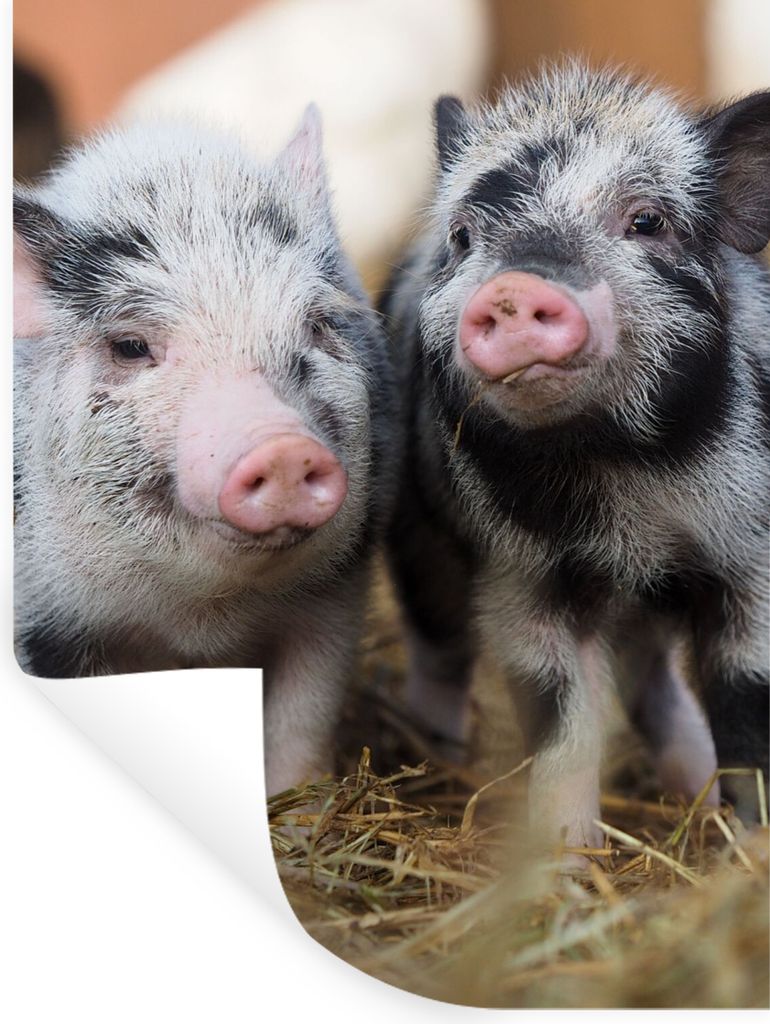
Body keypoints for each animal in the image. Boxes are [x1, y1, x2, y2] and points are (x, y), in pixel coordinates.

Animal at [13, 108, 399, 796]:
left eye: (316, 325)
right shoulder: (48, 625)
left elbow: (303, 715)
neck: (201, 618)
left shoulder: (337, 591)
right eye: (130, 346)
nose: (281, 447)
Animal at [381, 62, 770, 849]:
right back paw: (443, 756)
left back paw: (697, 796)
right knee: (438, 649)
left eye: (647, 221)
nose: (514, 287)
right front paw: (565, 856)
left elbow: (746, 703)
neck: (623, 472)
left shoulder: (748, 554)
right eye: (463, 235)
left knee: (653, 684)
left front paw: (751, 844)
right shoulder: (521, 577)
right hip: (417, 538)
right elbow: (561, 719)